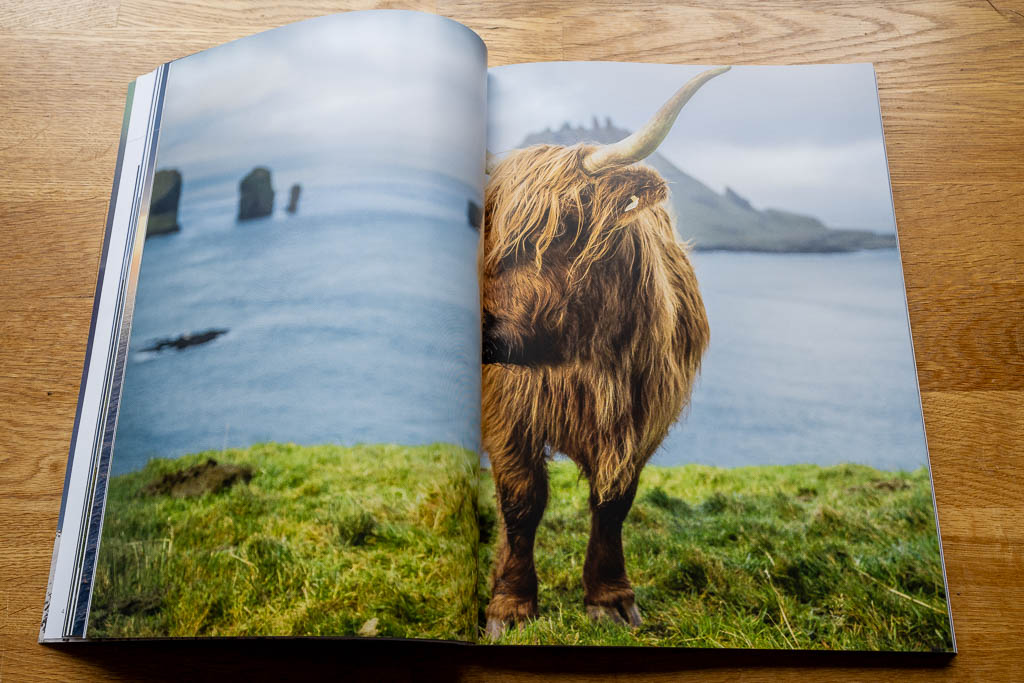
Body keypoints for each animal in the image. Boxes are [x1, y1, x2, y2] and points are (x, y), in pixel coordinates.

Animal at [479, 66, 729, 638]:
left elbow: (614, 502)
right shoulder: (507, 410)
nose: (480, 327)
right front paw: (511, 604)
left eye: (566, 224)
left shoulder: (643, 415)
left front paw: (610, 598)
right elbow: (521, 500)